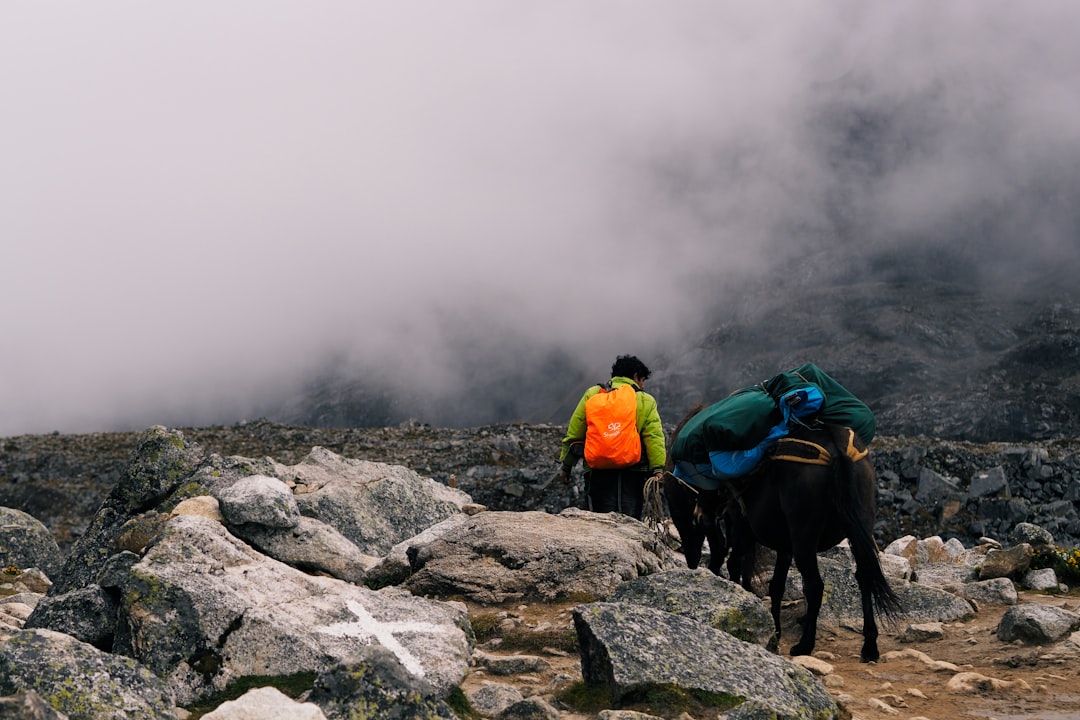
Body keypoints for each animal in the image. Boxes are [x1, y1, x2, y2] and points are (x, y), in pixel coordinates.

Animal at [660, 414, 898, 660]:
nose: (699, 517)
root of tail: (836, 448)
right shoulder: (785, 546)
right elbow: (776, 585)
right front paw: (775, 629)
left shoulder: (741, 526)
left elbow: (737, 566)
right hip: (859, 528)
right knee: (864, 576)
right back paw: (869, 645)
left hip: (804, 536)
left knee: (815, 585)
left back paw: (805, 644)